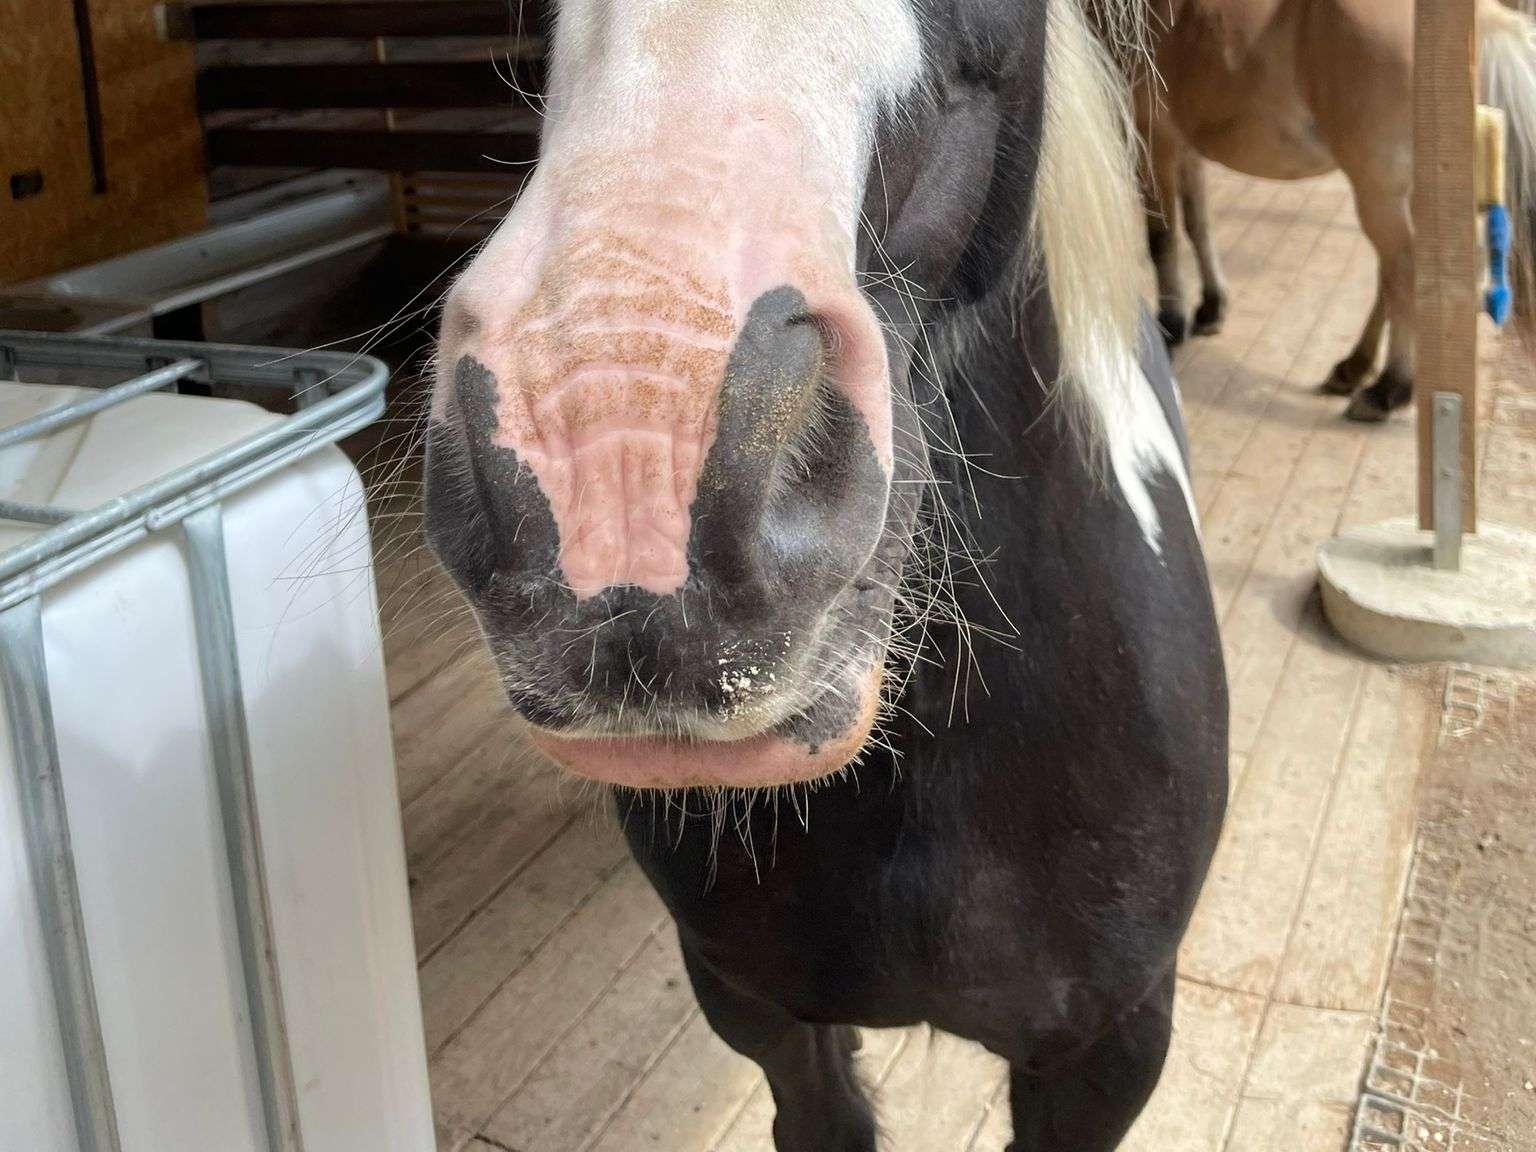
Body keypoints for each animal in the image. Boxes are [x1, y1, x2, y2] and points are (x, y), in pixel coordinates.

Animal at [1135, 0, 1536, 421]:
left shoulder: (1152, 136)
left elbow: (1162, 237)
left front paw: (1170, 326)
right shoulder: (1185, 145)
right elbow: (1198, 226)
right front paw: (1211, 308)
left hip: (1379, 189)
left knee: (1404, 270)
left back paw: (1389, 388)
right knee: (1399, 274)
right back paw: (1354, 367)